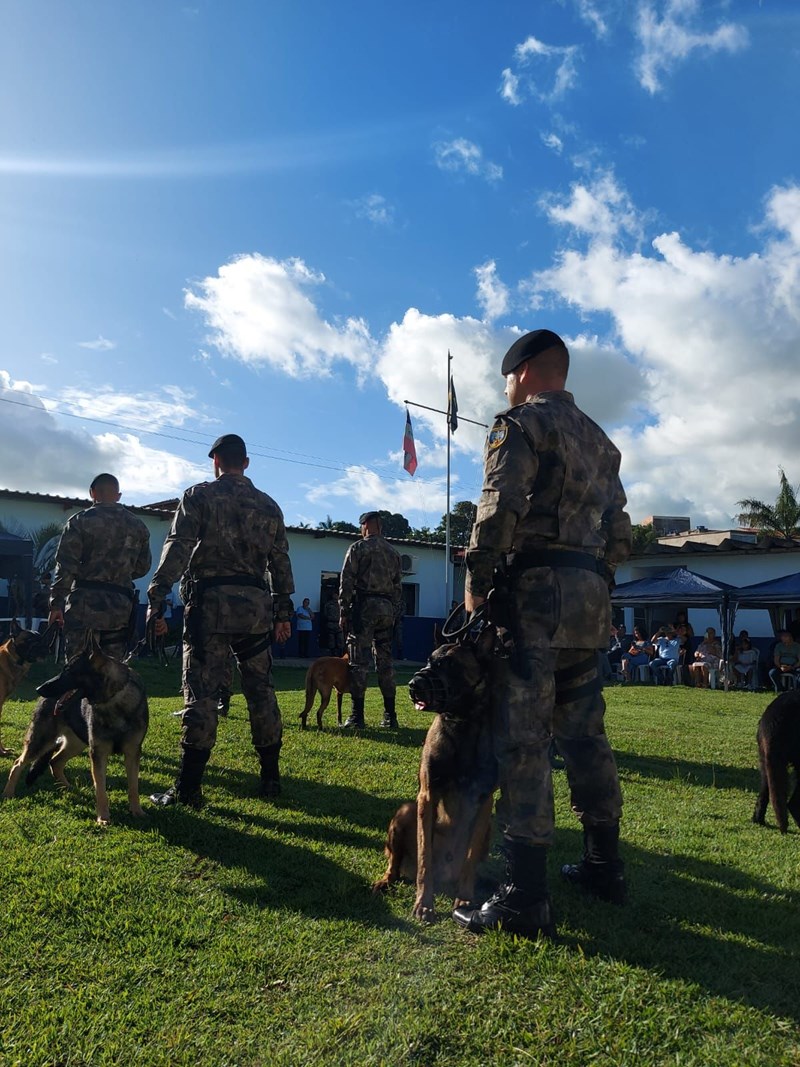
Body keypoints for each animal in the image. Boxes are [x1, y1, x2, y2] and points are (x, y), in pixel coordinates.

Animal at [373, 623, 499, 926]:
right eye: (429, 660)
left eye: (450, 665)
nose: (414, 684)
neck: (462, 723)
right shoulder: (427, 796)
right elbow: (425, 859)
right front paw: (423, 904)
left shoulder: (484, 801)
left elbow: (470, 858)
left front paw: (465, 900)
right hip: (405, 810)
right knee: (394, 865)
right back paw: (385, 881)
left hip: (488, 825)